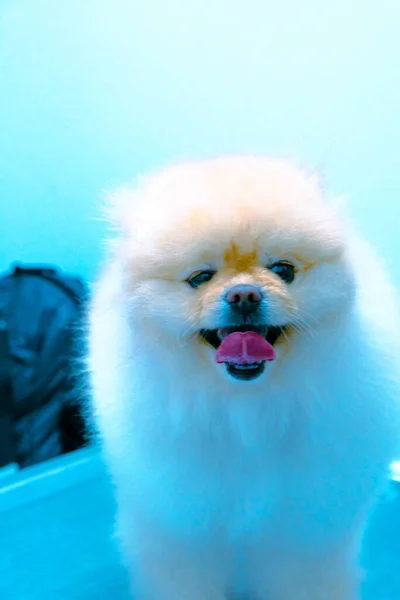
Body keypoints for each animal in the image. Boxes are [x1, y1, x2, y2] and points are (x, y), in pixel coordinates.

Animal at [87, 157, 400, 596]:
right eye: (200, 277)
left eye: (283, 270)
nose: (244, 295)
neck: (247, 413)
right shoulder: (181, 526)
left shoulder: (303, 530)